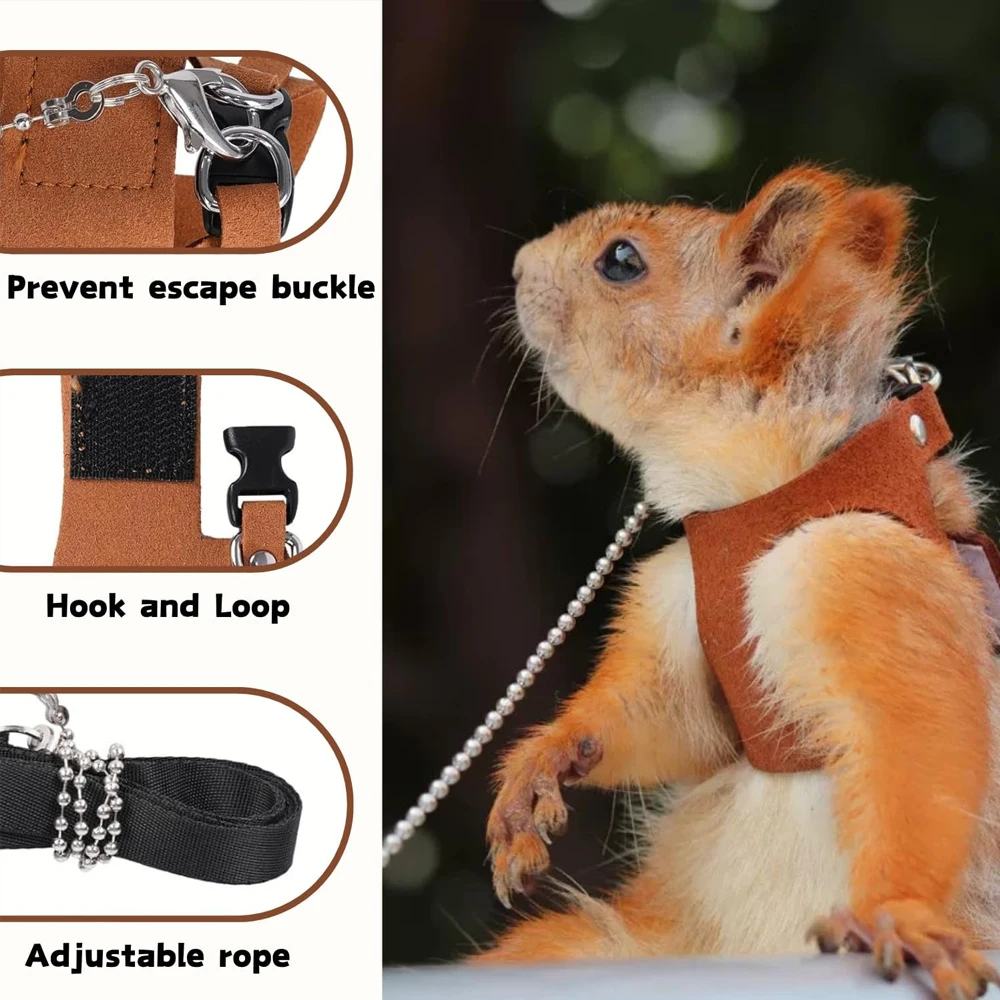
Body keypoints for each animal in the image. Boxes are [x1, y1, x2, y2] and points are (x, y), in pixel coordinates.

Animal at [475, 166, 1000, 1000]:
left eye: (621, 261)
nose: (521, 267)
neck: (755, 505)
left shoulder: (871, 577)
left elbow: (919, 746)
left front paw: (901, 918)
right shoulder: (675, 612)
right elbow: (661, 718)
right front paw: (542, 762)